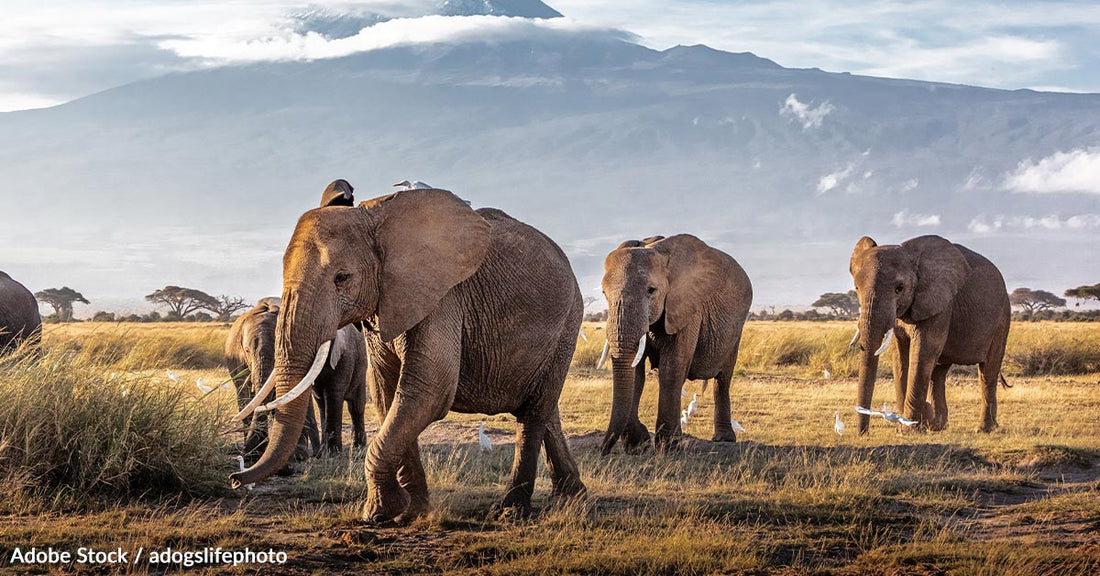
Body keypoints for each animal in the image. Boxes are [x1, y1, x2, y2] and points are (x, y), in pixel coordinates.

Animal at [229, 181, 585, 521]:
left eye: (342, 277)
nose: (234, 478)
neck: (375, 217)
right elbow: (388, 392)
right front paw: (412, 511)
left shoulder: (442, 298)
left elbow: (429, 389)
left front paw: (378, 513)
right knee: (544, 408)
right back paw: (572, 495)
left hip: (568, 321)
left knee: (533, 413)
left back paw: (511, 511)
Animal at [598, 234, 752, 455]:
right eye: (603, 293)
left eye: (651, 290)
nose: (602, 451)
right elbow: (637, 373)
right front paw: (639, 445)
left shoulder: (687, 307)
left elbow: (673, 367)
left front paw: (669, 447)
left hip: (736, 329)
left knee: (723, 378)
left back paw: (724, 439)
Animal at [849, 234, 1012, 430]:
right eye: (857, 288)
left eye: (899, 288)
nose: (863, 433)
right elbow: (900, 357)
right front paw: (909, 426)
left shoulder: (941, 305)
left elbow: (923, 352)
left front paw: (909, 430)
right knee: (938, 373)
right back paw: (937, 426)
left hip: (1002, 318)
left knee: (987, 372)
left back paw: (983, 429)